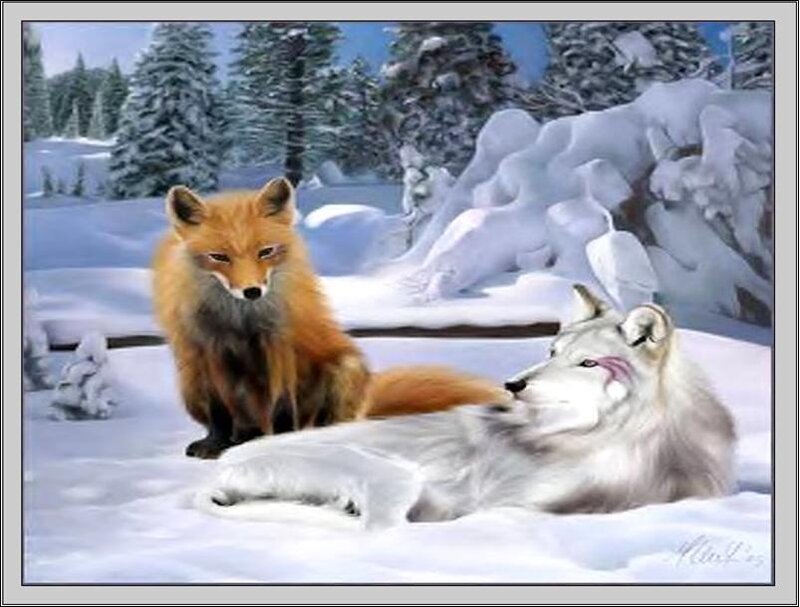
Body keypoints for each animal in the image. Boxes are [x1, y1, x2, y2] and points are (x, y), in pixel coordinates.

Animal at [152, 177, 504, 459]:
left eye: (266, 252)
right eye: (219, 257)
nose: (252, 291)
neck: (238, 320)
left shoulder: (280, 341)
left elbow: (282, 404)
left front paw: (281, 443)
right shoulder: (201, 349)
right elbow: (219, 410)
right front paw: (217, 443)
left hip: (345, 368)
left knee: (325, 424)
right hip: (188, 385)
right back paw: (242, 438)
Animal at [194, 285, 736, 528]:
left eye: (586, 362)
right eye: (551, 351)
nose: (512, 385)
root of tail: (225, 462)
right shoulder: (516, 503)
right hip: (397, 480)